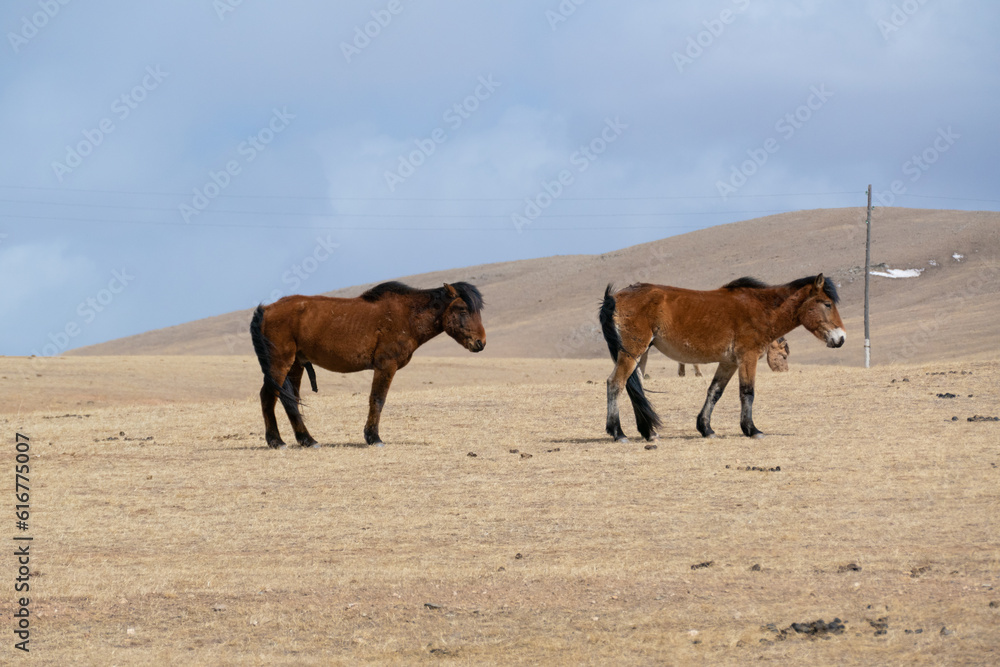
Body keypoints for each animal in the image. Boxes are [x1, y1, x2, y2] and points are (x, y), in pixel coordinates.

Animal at [250, 281, 485, 448]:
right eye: (463, 310)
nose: (481, 343)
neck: (408, 316)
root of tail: (267, 309)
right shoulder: (385, 366)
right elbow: (377, 399)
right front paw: (373, 437)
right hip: (280, 363)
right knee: (268, 396)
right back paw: (276, 442)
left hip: (296, 365)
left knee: (290, 400)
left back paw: (307, 440)